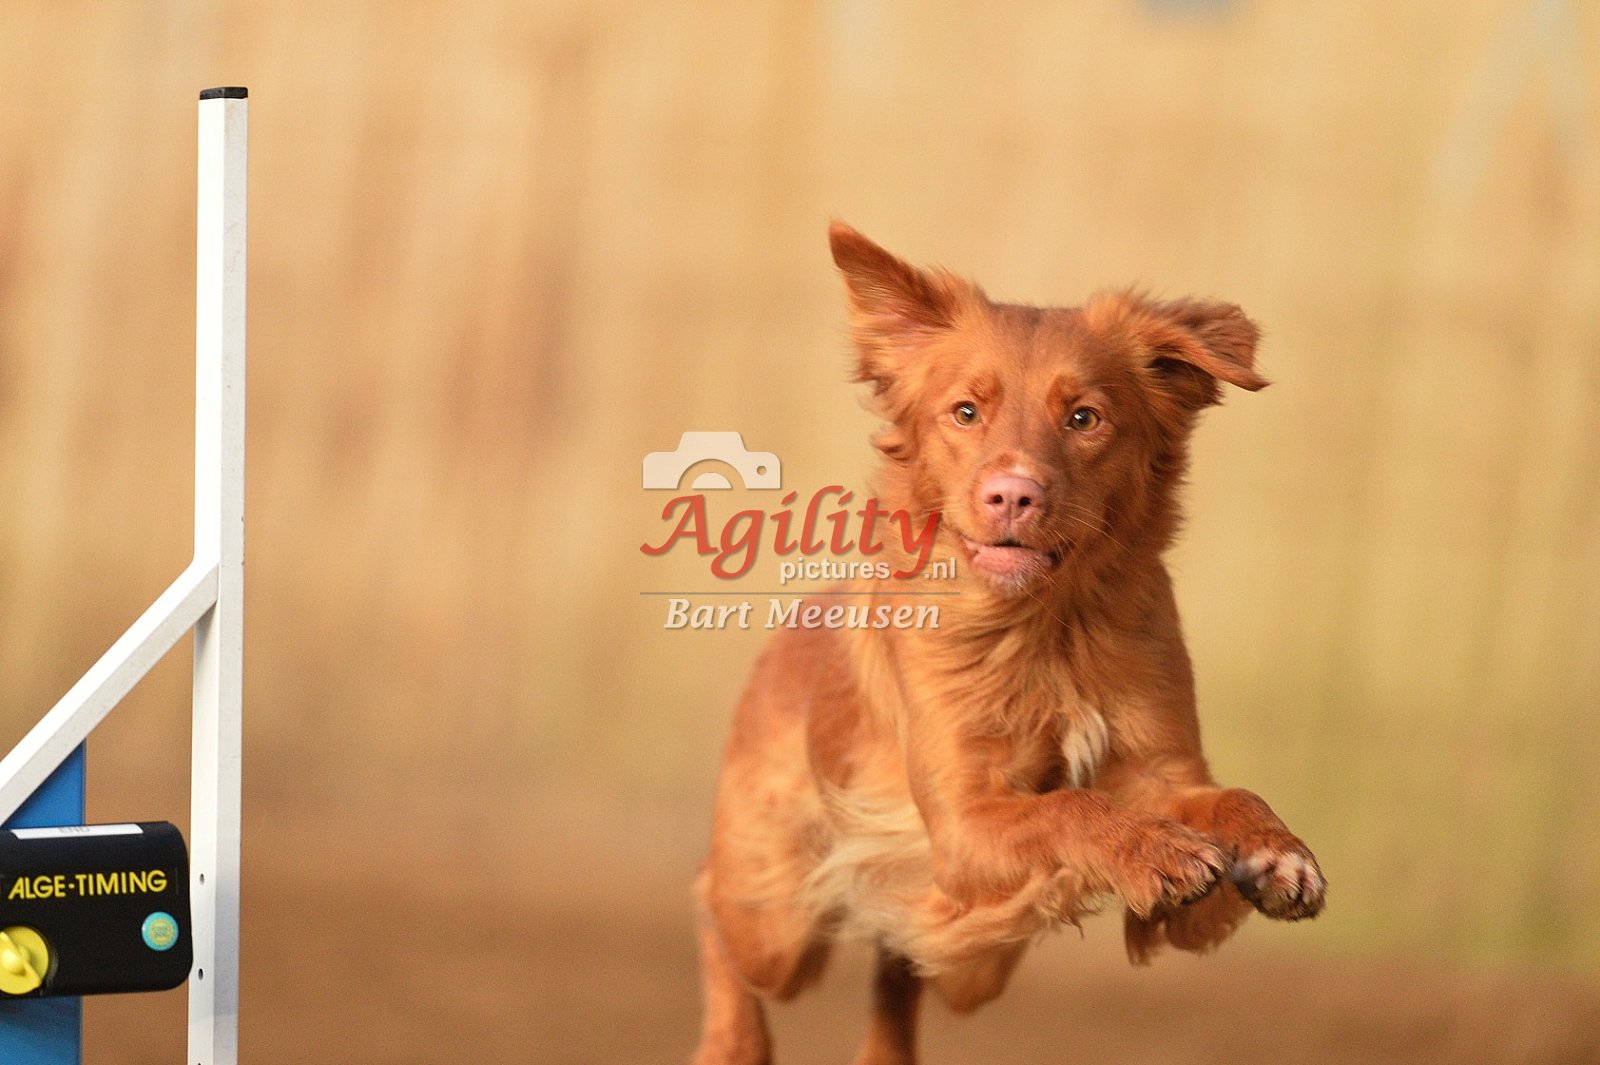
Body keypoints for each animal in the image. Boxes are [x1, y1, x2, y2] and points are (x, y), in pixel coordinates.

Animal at [691, 223, 1326, 1065]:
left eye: (1085, 418)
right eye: (965, 411)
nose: (1014, 493)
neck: (1047, 630)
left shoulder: (1161, 769)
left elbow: (1229, 795)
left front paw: (1278, 850)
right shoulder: (964, 825)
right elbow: (1068, 805)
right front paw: (1153, 851)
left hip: (966, 962)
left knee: (901, 961)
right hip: (779, 918)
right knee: (714, 901)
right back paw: (731, 1040)